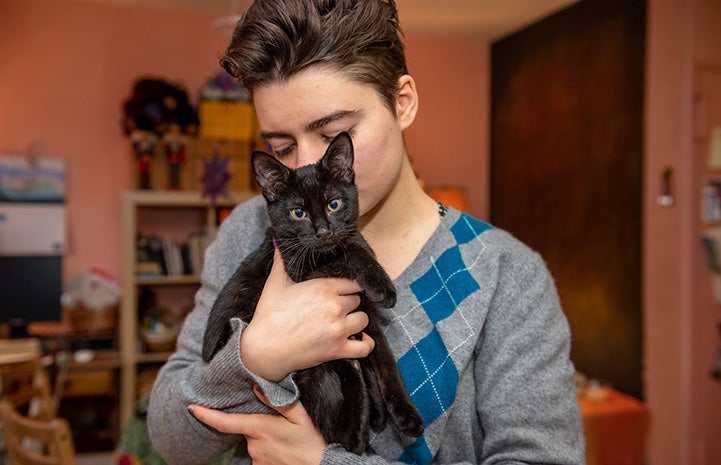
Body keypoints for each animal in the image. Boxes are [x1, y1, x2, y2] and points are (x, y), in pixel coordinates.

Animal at [201, 130, 422, 454]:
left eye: (334, 204)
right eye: (298, 213)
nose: (323, 232)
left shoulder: (368, 319)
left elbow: (387, 366)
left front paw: (407, 416)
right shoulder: (300, 271)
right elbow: (346, 254)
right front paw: (382, 283)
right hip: (309, 371)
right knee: (344, 435)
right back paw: (355, 384)